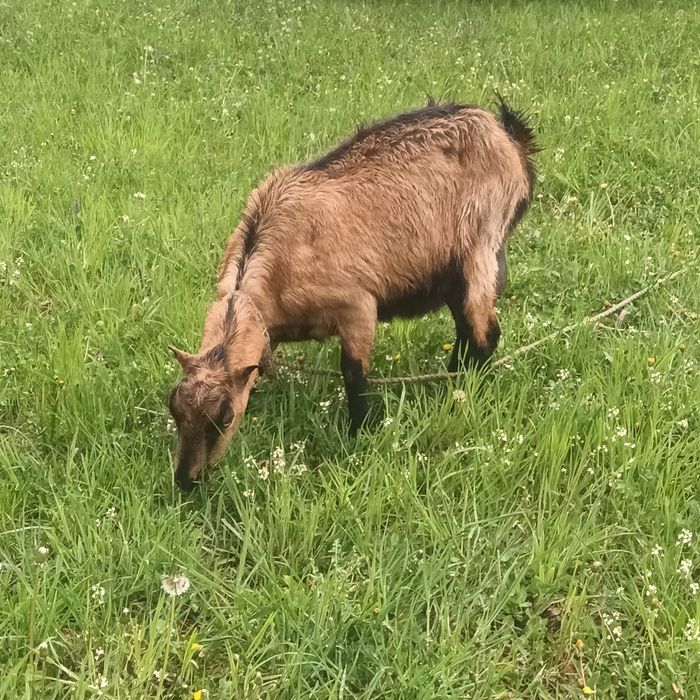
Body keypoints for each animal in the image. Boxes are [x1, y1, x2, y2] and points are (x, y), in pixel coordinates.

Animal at [167, 98, 537, 490]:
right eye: (174, 408)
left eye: (223, 417)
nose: (187, 479)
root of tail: (506, 135)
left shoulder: (357, 306)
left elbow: (354, 373)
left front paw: (358, 433)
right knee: (467, 331)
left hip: (479, 249)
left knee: (484, 337)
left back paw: (459, 395)